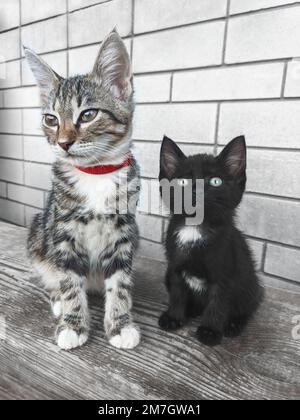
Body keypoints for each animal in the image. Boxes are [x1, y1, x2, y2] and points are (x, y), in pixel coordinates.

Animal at [24, 30, 141, 352]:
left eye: (88, 115)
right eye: (51, 119)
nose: (63, 142)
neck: (95, 173)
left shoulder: (124, 231)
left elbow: (121, 282)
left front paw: (120, 324)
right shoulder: (62, 232)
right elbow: (69, 281)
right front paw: (73, 325)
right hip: (39, 232)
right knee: (53, 276)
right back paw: (58, 302)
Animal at [158, 136, 264, 346]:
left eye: (215, 181)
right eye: (183, 181)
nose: (196, 192)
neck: (195, 229)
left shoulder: (225, 274)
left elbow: (218, 302)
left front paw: (210, 330)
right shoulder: (174, 267)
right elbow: (177, 293)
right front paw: (174, 317)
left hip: (250, 282)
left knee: (247, 306)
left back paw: (233, 324)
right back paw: (191, 311)